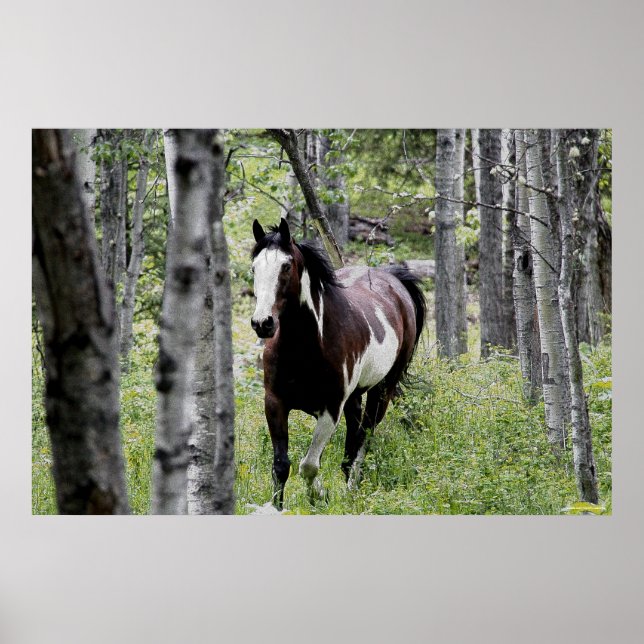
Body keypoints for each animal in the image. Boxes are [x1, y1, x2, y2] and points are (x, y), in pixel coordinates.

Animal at [250, 218, 427, 509]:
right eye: (254, 267)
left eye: (286, 266)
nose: (263, 323)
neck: (304, 346)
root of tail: (393, 280)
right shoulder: (275, 402)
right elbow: (281, 465)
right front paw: (278, 507)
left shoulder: (330, 409)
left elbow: (309, 465)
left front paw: (318, 495)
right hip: (354, 398)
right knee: (351, 445)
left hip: (382, 391)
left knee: (362, 440)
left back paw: (353, 489)